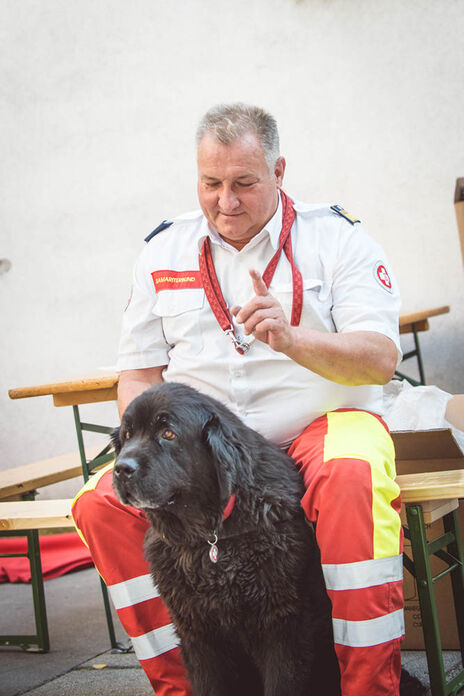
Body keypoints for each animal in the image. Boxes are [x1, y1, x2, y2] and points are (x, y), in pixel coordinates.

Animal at [111, 384, 424, 696]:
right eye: (127, 436)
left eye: (168, 434)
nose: (121, 469)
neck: (211, 536)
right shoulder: (197, 633)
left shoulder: (282, 626)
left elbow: (282, 681)